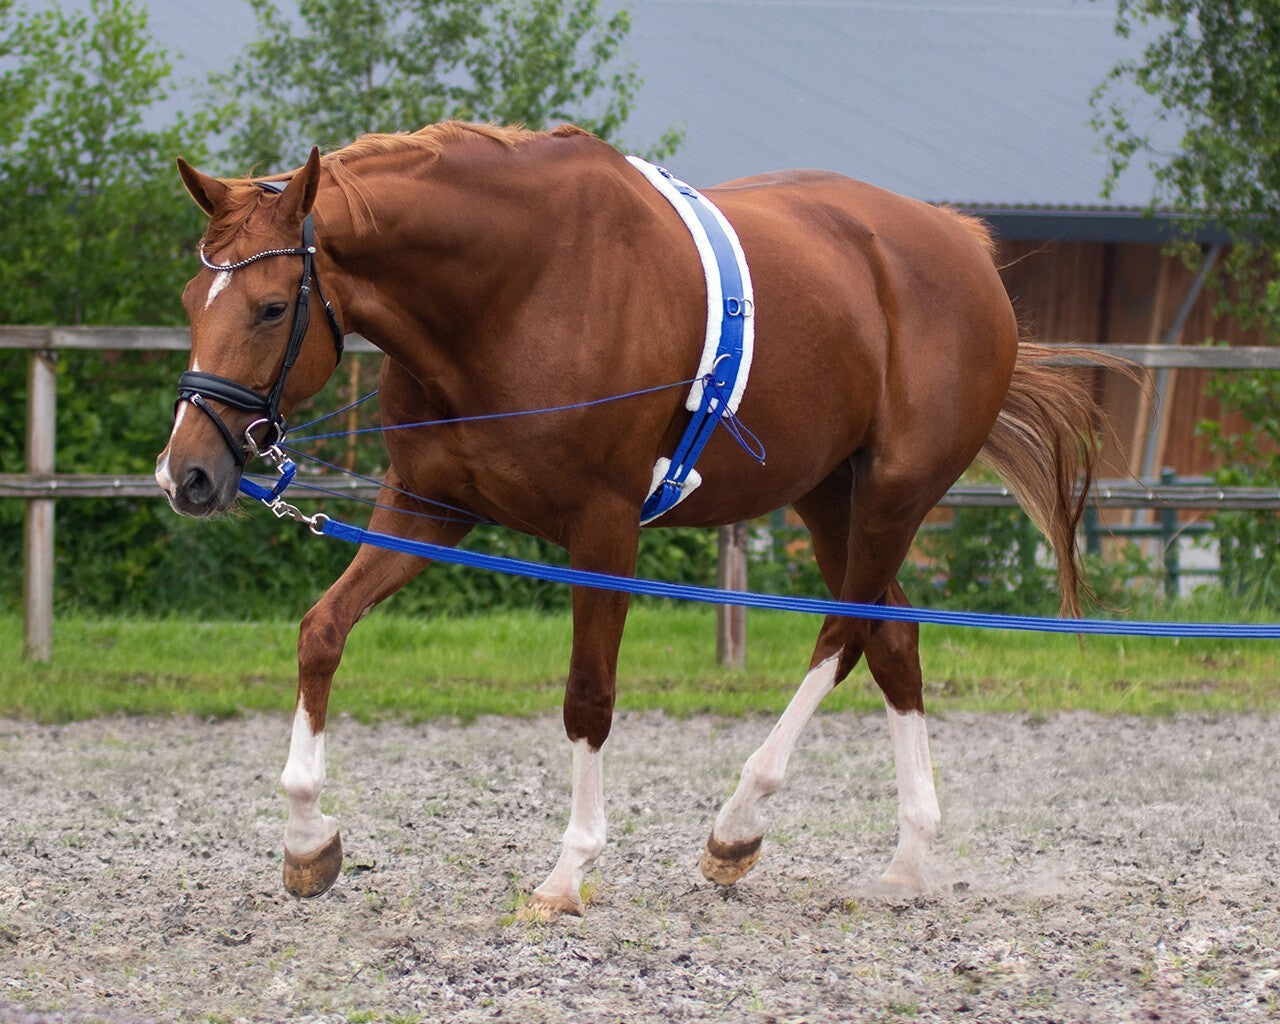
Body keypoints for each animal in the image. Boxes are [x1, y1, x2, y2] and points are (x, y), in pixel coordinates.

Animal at [156, 121, 1106, 920]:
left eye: (272, 307)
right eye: (190, 299)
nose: (185, 475)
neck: (513, 291)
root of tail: (964, 247)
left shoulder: (603, 531)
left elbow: (589, 695)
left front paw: (568, 872)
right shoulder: (425, 510)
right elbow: (322, 632)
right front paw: (307, 841)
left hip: (893, 497)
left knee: (843, 635)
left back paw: (738, 826)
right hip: (829, 495)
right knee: (892, 636)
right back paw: (906, 860)